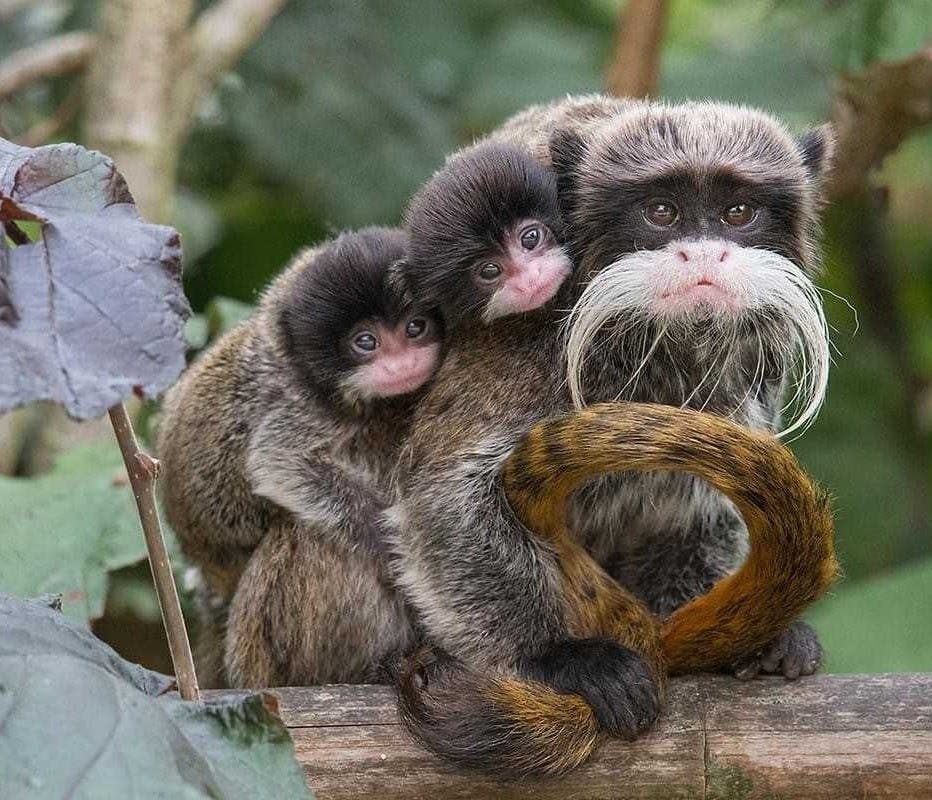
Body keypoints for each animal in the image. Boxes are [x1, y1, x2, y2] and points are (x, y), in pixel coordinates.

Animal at [156, 227, 443, 687]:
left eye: (416, 327)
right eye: (366, 342)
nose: (402, 364)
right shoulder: (306, 405)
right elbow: (277, 463)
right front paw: (391, 540)